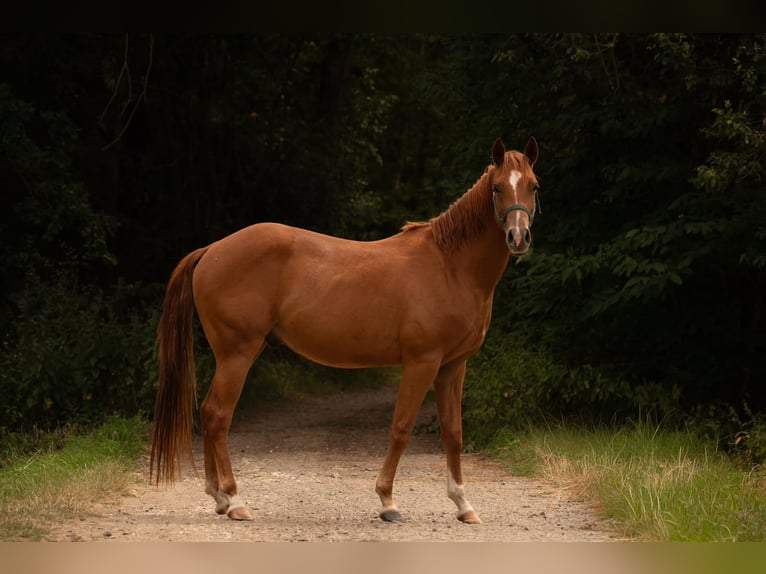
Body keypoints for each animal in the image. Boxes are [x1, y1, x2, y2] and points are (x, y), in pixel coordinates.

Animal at [150, 136, 540, 524]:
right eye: (497, 187)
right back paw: (234, 500)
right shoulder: (422, 363)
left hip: (236, 354)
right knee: (218, 415)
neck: (449, 266)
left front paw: (463, 504)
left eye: (533, 186)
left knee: (207, 412)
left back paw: (218, 497)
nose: (518, 237)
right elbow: (401, 428)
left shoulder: (453, 365)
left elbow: (453, 432)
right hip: (237, 355)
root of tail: (212, 249)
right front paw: (387, 502)